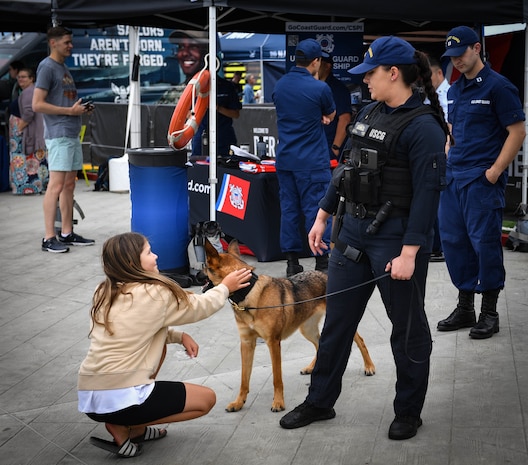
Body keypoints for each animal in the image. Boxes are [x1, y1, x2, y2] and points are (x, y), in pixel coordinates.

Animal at [203, 239, 376, 410]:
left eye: (204, 266)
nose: (199, 274)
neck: (248, 291)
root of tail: (324, 274)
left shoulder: (273, 343)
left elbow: (277, 378)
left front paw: (278, 402)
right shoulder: (246, 343)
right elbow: (244, 379)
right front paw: (239, 402)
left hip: (341, 320)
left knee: (360, 341)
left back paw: (369, 366)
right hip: (306, 329)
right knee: (320, 344)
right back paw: (312, 367)